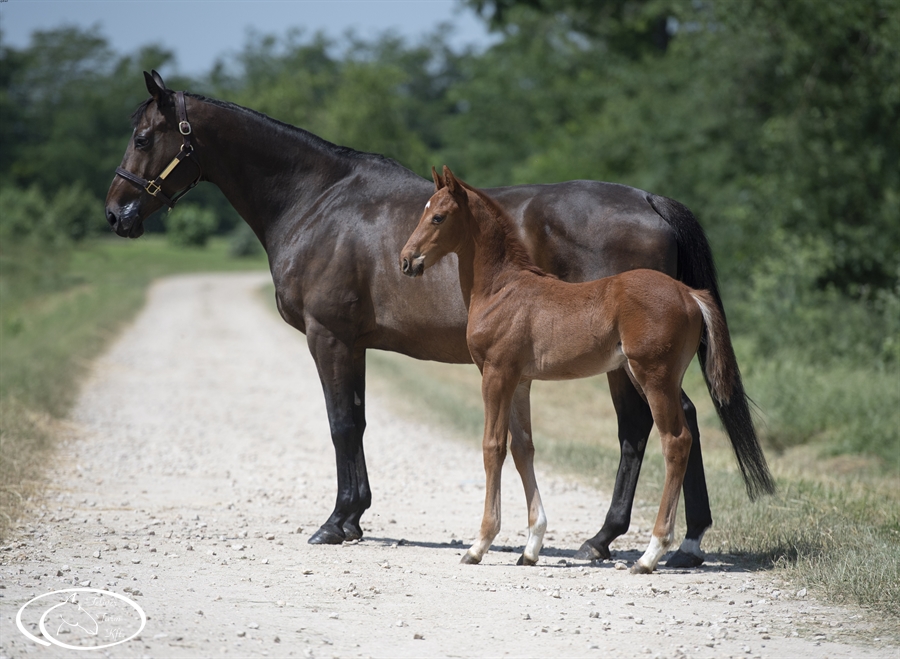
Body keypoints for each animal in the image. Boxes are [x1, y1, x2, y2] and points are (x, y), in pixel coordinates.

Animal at [404, 166, 756, 572]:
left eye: (438, 217)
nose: (406, 260)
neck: (502, 290)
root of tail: (690, 294)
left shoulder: (496, 373)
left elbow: (493, 447)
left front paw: (479, 545)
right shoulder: (521, 380)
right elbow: (523, 448)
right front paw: (531, 547)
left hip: (653, 376)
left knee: (676, 440)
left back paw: (650, 554)